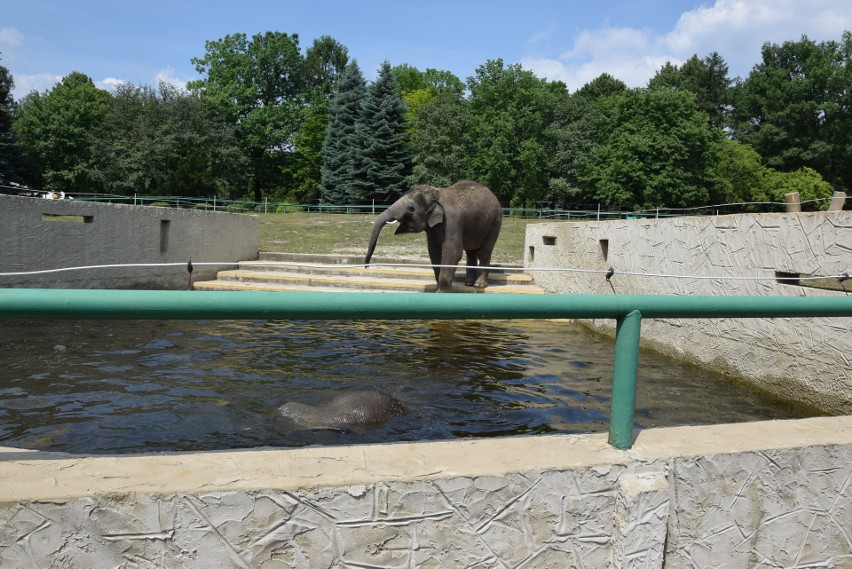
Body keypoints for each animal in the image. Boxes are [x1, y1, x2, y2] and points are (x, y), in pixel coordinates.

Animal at [364, 180, 500, 290]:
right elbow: (434, 252)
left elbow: (453, 252)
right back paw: (468, 284)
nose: (366, 267)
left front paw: (441, 292)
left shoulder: (452, 222)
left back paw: (479, 285)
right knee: (471, 251)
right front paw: (437, 289)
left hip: (495, 223)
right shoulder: (432, 229)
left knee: (485, 251)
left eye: (410, 209)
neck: (436, 194)